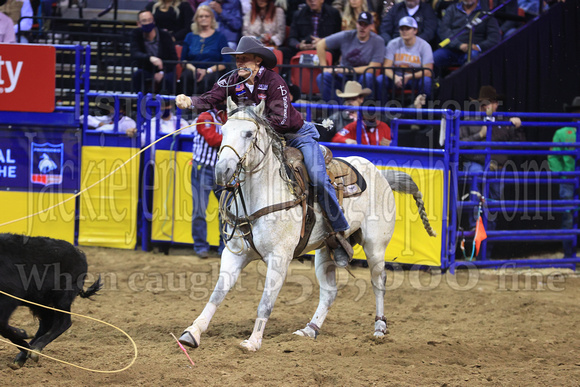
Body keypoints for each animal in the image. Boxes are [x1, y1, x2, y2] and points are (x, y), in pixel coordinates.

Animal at [0, 233, 101, 370]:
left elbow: (2, 325)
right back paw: (23, 355)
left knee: (64, 322)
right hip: (40, 302)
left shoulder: (11, 296)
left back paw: (34, 350)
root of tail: (80, 254)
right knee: (46, 324)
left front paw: (23, 335)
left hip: (62, 297)